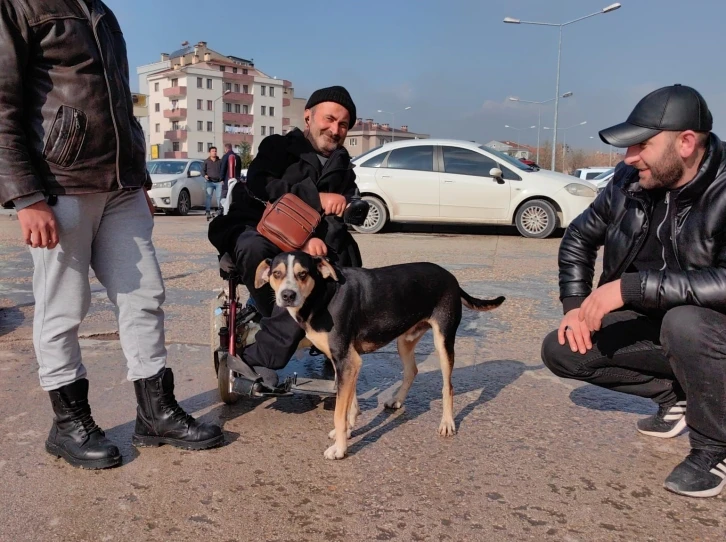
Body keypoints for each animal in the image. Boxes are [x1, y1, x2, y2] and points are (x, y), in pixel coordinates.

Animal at [256, 253, 506, 462]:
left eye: (303, 274)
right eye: (277, 274)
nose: (287, 295)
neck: (324, 296)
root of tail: (452, 278)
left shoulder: (347, 361)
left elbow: (339, 412)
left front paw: (340, 448)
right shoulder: (346, 363)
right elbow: (350, 404)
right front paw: (348, 430)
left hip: (443, 340)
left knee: (448, 386)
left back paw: (447, 423)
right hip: (404, 341)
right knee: (412, 370)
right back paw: (397, 400)